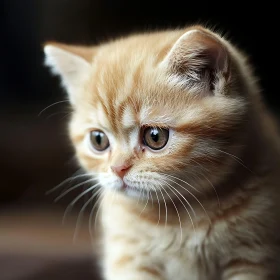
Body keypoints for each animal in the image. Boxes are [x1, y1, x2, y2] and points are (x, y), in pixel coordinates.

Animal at [43, 25, 280, 278]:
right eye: (98, 140)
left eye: (155, 137)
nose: (118, 169)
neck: (178, 218)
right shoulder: (128, 258)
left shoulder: (254, 257)